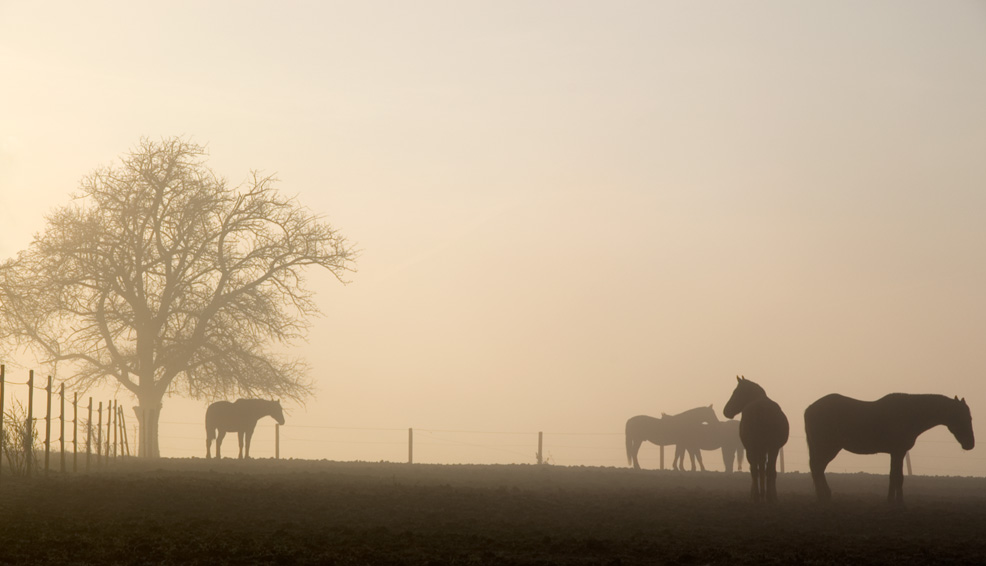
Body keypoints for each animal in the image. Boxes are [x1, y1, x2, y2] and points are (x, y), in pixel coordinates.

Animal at [804, 394, 972, 506]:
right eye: (964, 417)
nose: (970, 444)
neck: (910, 414)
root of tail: (809, 409)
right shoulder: (898, 452)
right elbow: (897, 477)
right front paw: (898, 502)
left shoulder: (896, 453)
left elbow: (894, 476)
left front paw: (892, 500)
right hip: (828, 447)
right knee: (817, 468)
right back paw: (825, 496)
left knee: (817, 469)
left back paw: (823, 496)